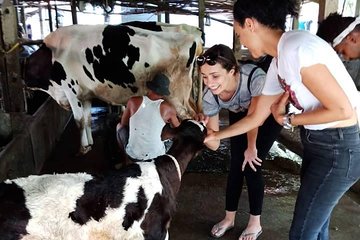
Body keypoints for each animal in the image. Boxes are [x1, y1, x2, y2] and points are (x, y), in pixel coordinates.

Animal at [24, 22, 205, 154]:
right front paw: (90, 143)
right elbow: (87, 119)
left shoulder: (71, 91)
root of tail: (191, 37)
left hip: (177, 95)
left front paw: (82, 148)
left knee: (190, 117)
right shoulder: (85, 95)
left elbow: (79, 121)